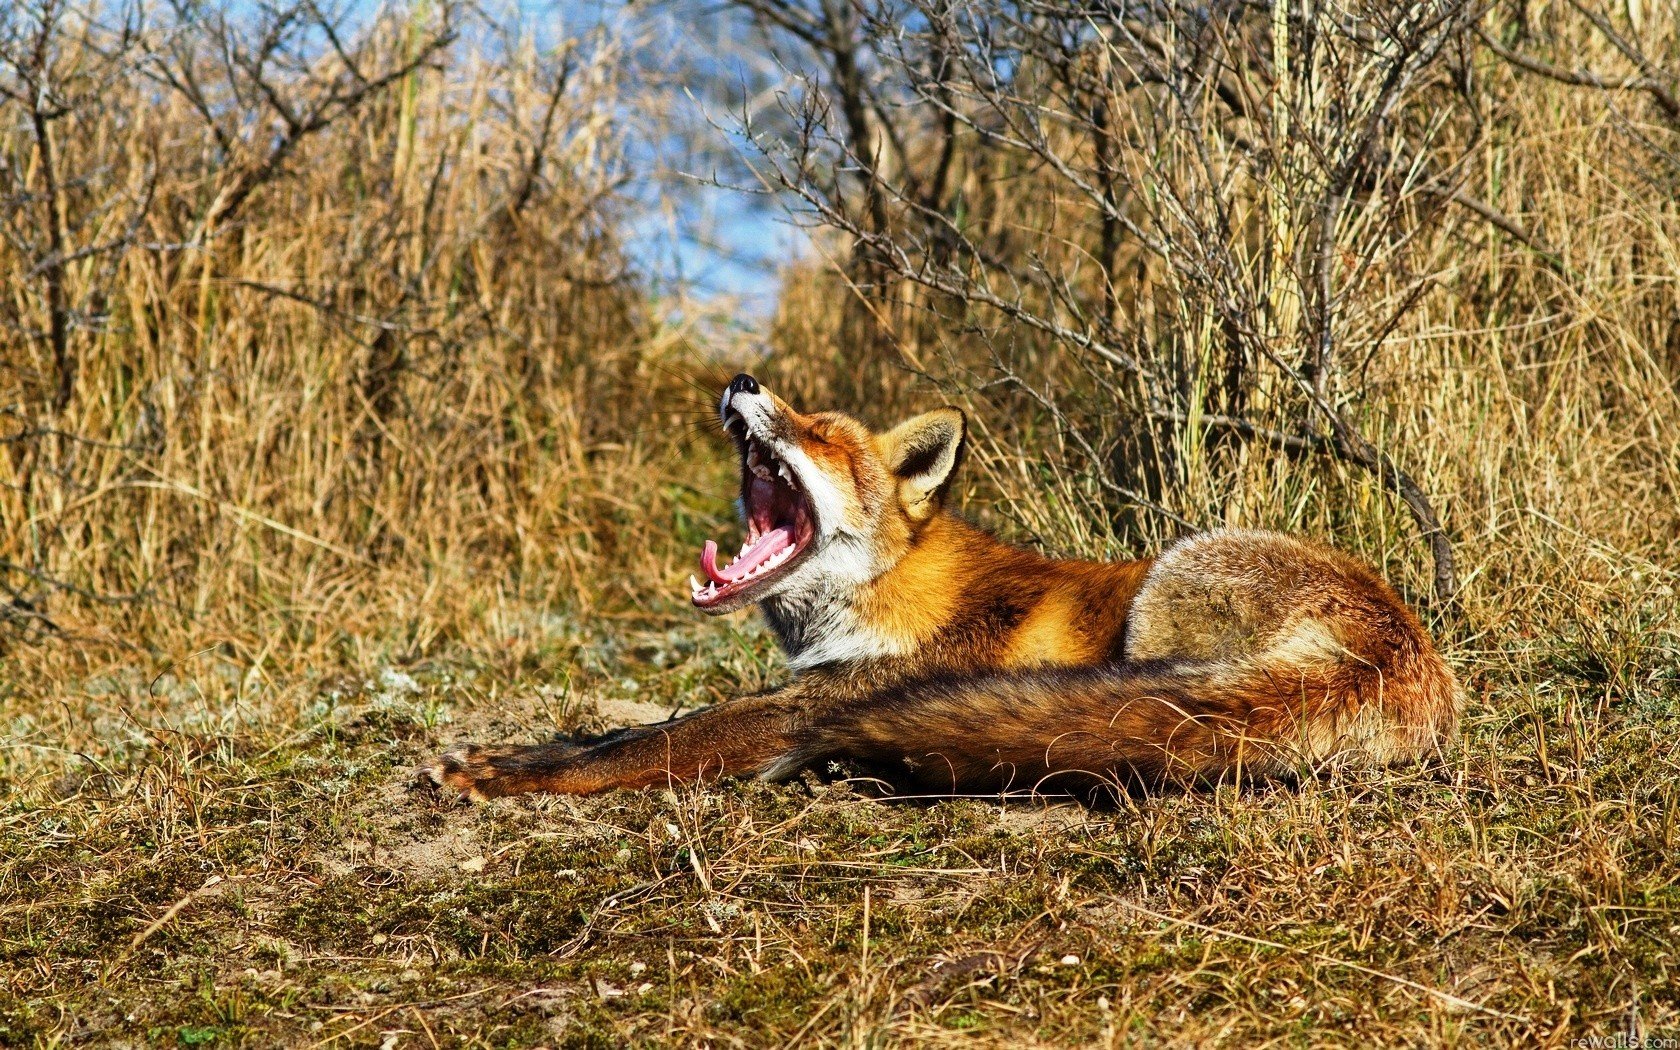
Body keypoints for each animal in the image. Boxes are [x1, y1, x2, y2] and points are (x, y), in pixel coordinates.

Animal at [420, 373, 1459, 801]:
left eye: (824, 435)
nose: (742, 378)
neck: (880, 597)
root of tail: (1394, 653)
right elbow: (625, 729)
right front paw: (526, 747)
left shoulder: (816, 702)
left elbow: (655, 741)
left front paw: (512, 776)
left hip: (1170, 581)